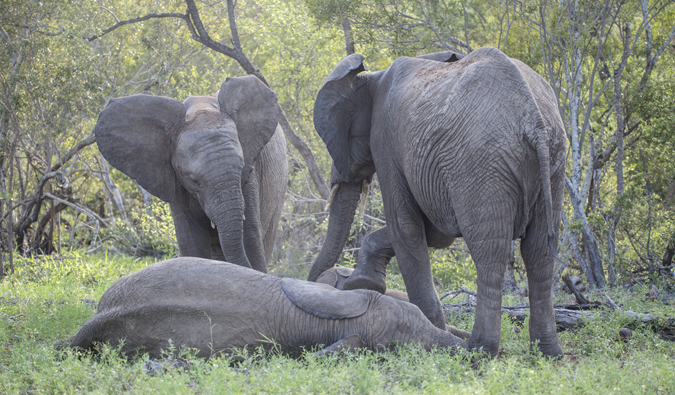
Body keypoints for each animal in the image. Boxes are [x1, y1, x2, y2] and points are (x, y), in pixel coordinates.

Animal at [93, 75, 286, 272]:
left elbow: (251, 241)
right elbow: (191, 243)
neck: (201, 108)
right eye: (194, 180)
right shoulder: (175, 180)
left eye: (241, 169)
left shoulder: (250, 174)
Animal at [308, 47, 568, 358]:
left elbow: (405, 226)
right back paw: (548, 352)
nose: (327, 281)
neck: (372, 78)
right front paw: (364, 283)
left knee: (490, 253)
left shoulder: (386, 140)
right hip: (553, 162)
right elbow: (435, 232)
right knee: (539, 252)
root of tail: (535, 121)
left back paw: (478, 350)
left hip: (482, 163)